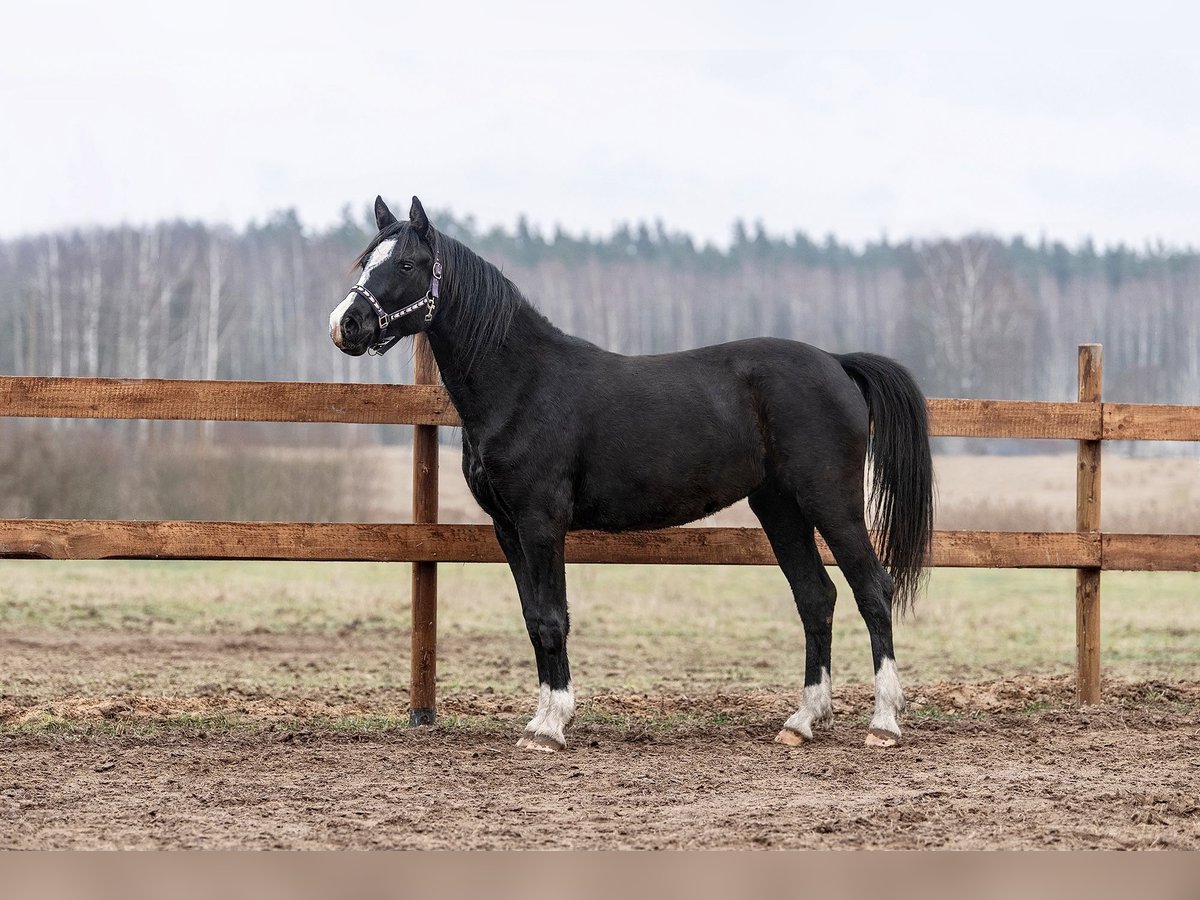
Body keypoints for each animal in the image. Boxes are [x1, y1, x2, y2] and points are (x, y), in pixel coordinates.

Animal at [331, 196, 936, 753]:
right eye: (365, 260)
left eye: (407, 264)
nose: (345, 324)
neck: (523, 383)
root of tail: (837, 363)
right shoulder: (508, 528)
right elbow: (532, 619)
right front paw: (540, 720)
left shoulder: (541, 522)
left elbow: (552, 618)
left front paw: (550, 727)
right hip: (779, 506)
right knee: (816, 597)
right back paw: (803, 721)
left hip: (830, 501)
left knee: (872, 588)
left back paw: (884, 722)